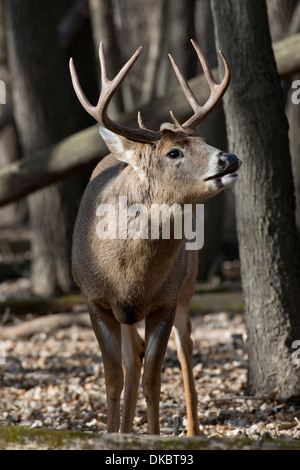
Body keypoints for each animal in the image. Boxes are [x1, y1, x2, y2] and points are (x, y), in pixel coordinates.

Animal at [69, 40, 241, 436]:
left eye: (204, 140)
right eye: (174, 152)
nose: (229, 158)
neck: (130, 276)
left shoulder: (164, 299)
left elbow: (153, 379)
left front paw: (154, 436)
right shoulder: (95, 298)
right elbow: (114, 379)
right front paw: (112, 434)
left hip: (186, 286)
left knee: (185, 346)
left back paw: (193, 431)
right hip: (130, 313)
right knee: (132, 362)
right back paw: (124, 429)